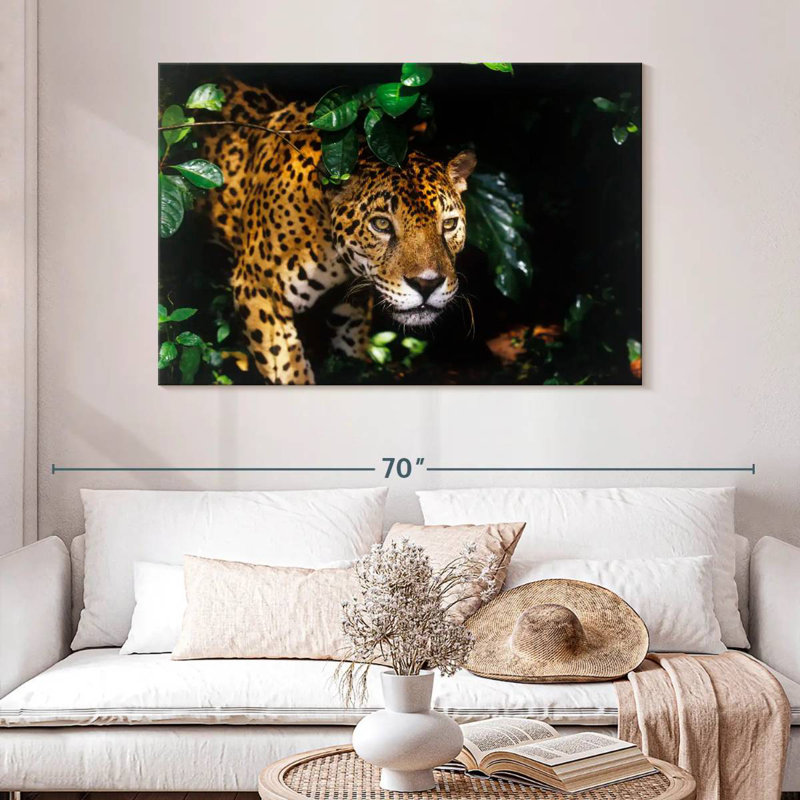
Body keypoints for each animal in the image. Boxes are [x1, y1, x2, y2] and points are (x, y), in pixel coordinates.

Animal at [200, 79, 476, 385]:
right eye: (381, 224)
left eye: (448, 224)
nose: (427, 284)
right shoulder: (257, 289)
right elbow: (289, 369)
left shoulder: (352, 306)